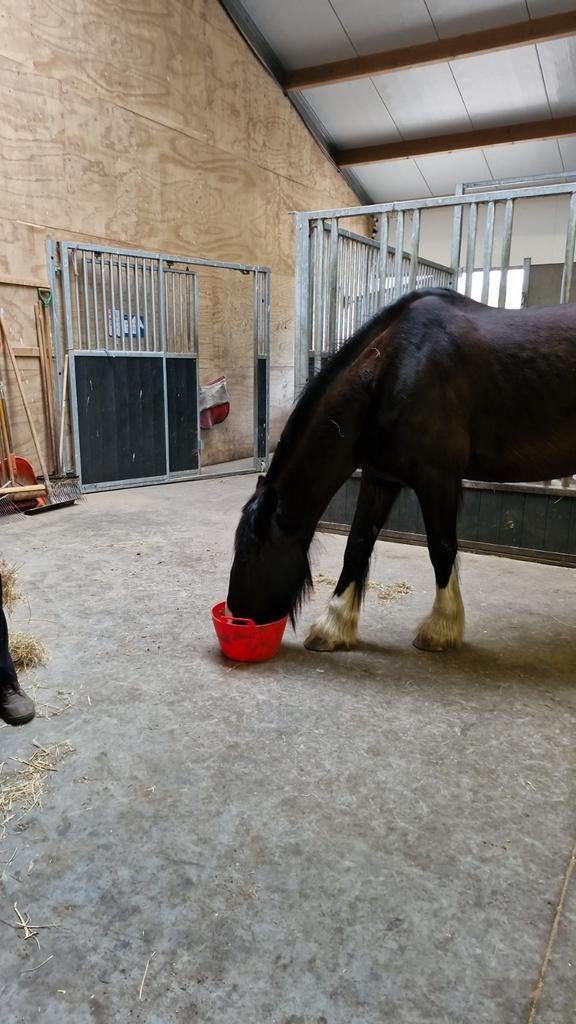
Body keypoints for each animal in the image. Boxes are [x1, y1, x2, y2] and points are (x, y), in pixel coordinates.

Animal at [226, 287, 576, 653]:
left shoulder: (438, 478)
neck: (392, 371)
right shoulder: (380, 478)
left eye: (248, 554)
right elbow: (357, 544)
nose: (236, 618)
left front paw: (440, 630)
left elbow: (441, 547)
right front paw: (332, 627)